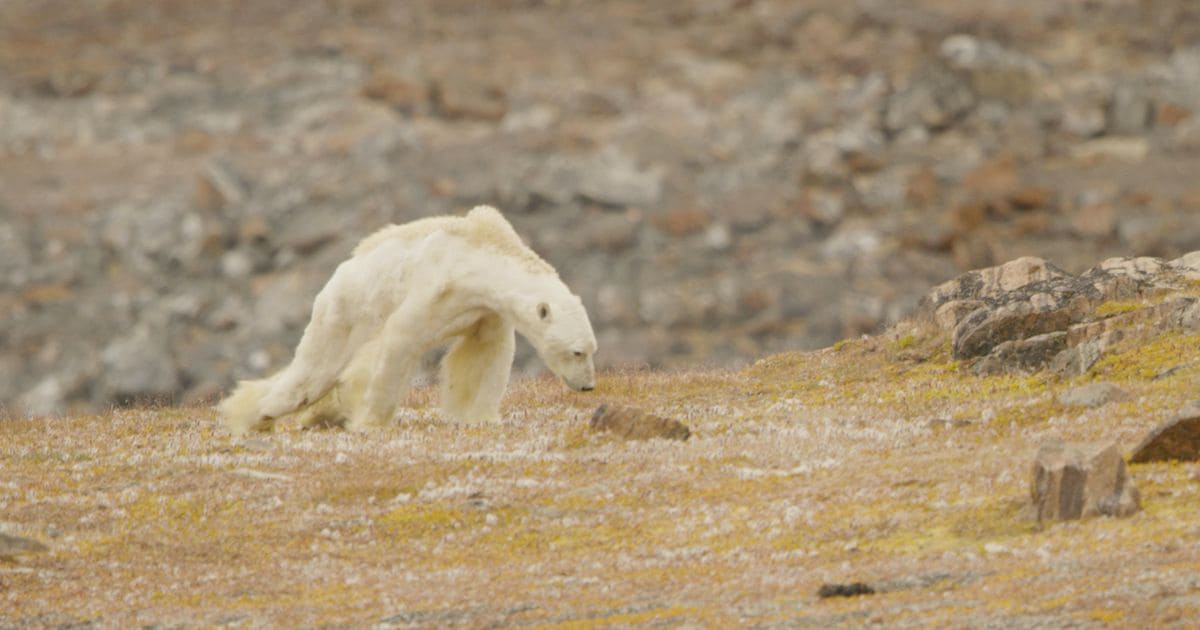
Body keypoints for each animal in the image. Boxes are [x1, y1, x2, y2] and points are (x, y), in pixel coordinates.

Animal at [217, 205, 600, 432]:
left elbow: (485, 355)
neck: (480, 255)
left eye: (592, 349)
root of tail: (337, 275)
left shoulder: (485, 309)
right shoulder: (436, 286)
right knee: (311, 374)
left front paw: (482, 416)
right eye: (577, 351)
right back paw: (255, 415)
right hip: (344, 312)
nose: (587, 386)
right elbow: (400, 340)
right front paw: (370, 420)